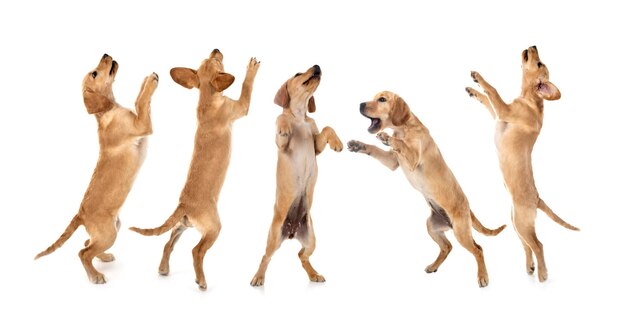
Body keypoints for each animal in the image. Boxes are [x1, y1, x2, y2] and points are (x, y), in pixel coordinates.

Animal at [34, 53, 158, 286]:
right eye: (94, 73)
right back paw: (95, 275)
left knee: (87, 244)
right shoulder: (142, 125)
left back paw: (104, 257)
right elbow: (141, 101)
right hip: (109, 233)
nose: (106, 54)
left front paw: (146, 79)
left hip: (112, 229)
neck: (107, 110)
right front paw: (151, 83)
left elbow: (138, 97)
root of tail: (80, 214)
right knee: (83, 253)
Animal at [130, 49, 260, 292]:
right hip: (214, 228)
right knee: (196, 251)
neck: (207, 100)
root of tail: (184, 205)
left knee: (168, 243)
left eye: (209, 58)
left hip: (181, 226)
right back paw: (201, 280)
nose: (216, 50)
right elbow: (247, 86)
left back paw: (163, 268)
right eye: (218, 61)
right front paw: (251, 69)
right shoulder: (241, 106)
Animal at [250, 65, 344, 286]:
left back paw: (314, 274)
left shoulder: (316, 145)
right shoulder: (282, 145)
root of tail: (292, 231)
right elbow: (280, 117)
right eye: (297, 74)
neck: (300, 116)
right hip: (274, 236)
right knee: (266, 256)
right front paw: (284, 126)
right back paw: (258, 277)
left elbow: (327, 128)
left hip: (312, 239)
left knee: (302, 256)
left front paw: (337, 143)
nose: (317, 66)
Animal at [348, 91, 504, 288]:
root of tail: (468, 208)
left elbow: (400, 144)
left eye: (382, 99)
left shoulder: (413, 158)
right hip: (432, 225)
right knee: (447, 247)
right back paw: (433, 266)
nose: (360, 104)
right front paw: (358, 145)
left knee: (478, 249)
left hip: (461, 232)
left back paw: (482, 277)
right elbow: (375, 149)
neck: (403, 129)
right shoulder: (393, 161)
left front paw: (388, 138)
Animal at [466, 45, 576, 284]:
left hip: (523, 224)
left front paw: (479, 77)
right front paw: (473, 89)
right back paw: (530, 267)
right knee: (528, 247)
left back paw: (543, 273)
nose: (533, 45)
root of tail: (537, 199)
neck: (531, 100)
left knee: (538, 245)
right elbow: (486, 99)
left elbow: (493, 90)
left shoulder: (504, 110)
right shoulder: (498, 115)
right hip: (517, 223)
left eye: (539, 63)